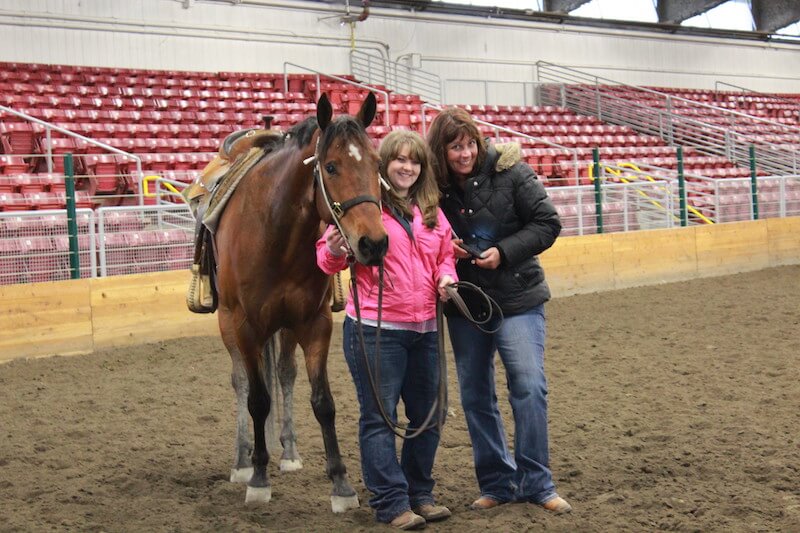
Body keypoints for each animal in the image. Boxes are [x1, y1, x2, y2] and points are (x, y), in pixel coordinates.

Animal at [213, 92, 388, 511]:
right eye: (331, 166)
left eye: (376, 164)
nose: (374, 243)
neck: (275, 233)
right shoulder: (246, 327)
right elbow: (258, 401)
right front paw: (258, 479)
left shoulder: (314, 324)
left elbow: (322, 400)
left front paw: (341, 484)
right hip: (227, 323)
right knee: (241, 382)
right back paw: (243, 461)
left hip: (286, 327)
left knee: (285, 374)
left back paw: (289, 453)